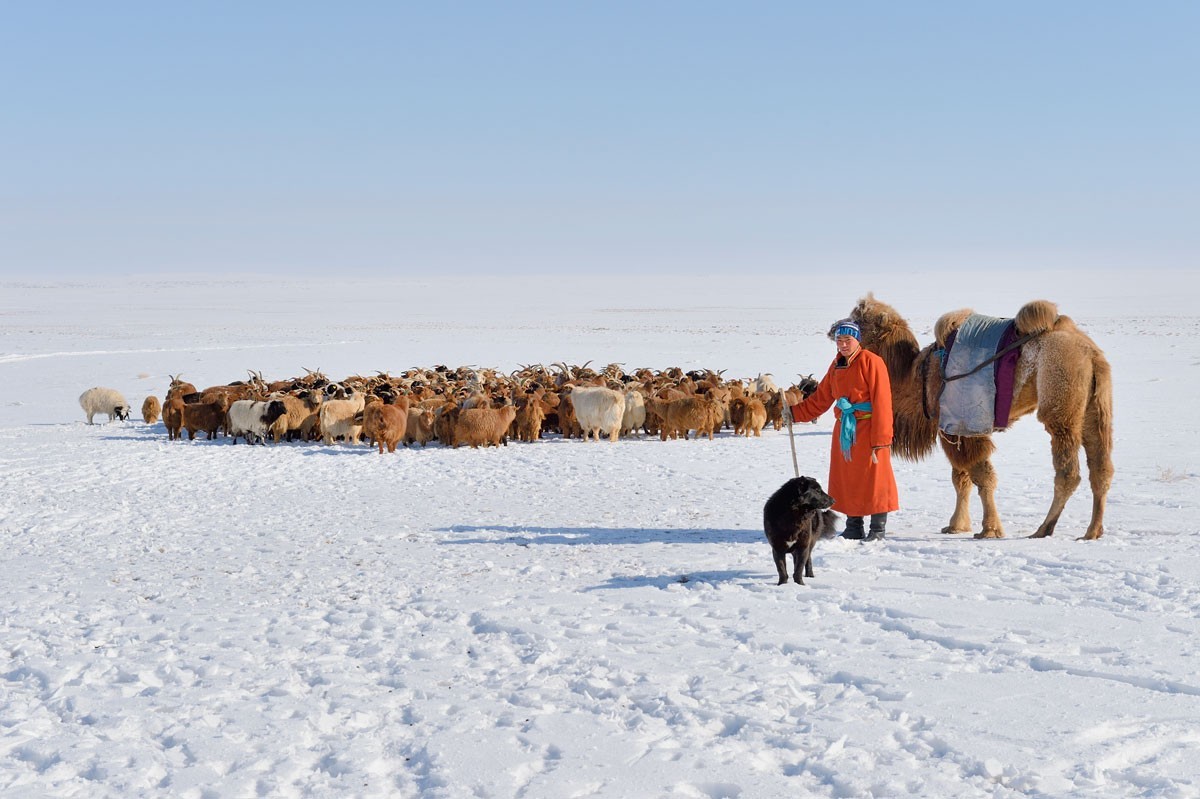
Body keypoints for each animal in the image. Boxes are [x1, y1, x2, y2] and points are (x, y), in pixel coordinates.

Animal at [844, 295, 1113, 537]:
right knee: (1101, 467)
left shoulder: (961, 427)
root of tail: (1090, 352)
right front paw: (956, 525)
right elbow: (961, 479)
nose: (836, 327)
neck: (916, 376)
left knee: (1068, 471)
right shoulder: (953, 428)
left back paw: (1043, 529)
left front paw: (989, 529)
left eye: (859, 320)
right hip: (1095, 406)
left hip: (1060, 395)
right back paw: (1092, 531)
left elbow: (981, 477)